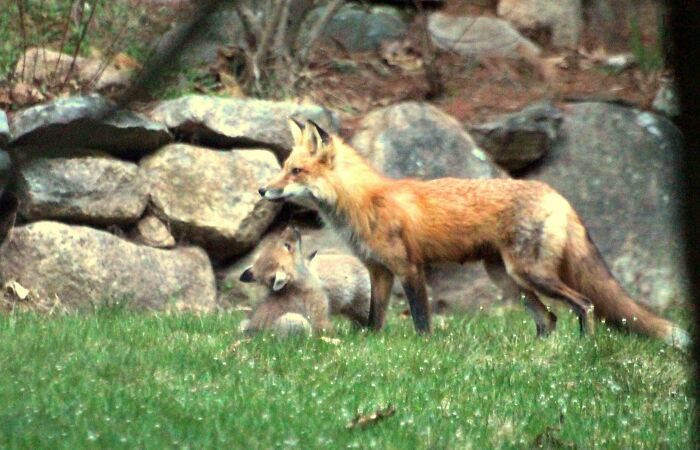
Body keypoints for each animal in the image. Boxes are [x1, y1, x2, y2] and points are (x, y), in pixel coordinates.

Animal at [257, 117, 690, 349]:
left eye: (295, 171)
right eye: (283, 168)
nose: (262, 191)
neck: (365, 202)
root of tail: (556, 193)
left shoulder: (410, 269)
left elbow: (421, 320)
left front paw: (424, 350)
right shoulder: (378, 271)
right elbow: (375, 320)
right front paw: (373, 345)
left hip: (529, 274)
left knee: (585, 305)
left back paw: (583, 350)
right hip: (507, 279)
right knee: (549, 319)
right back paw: (541, 356)